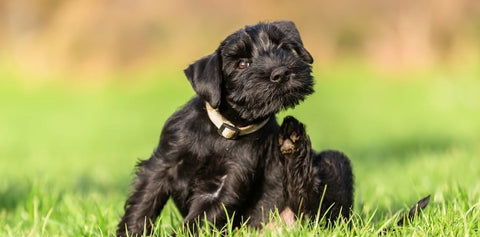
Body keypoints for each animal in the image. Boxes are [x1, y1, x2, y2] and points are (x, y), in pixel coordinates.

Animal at [118, 21, 354, 236]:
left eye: (284, 48)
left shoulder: (229, 180)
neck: (224, 129)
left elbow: (201, 218)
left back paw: (293, 139)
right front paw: (129, 232)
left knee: (314, 209)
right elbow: (144, 203)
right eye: (241, 64)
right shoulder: (162, 164)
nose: (281, 73)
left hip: (334, 162)